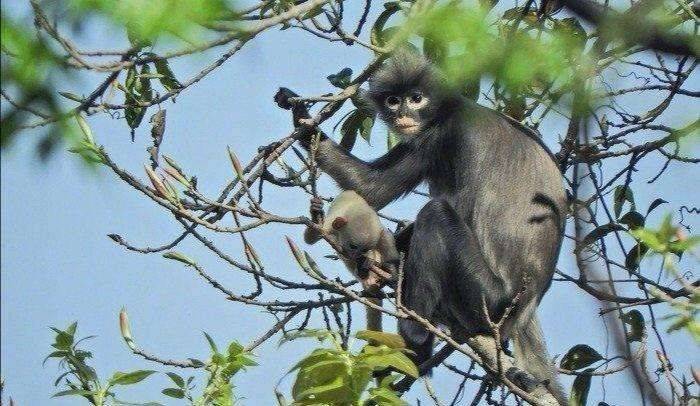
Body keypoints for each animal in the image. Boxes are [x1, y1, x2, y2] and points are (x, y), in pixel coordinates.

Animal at [304, 190, 400, 330]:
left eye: (364, 249)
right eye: (353, 246)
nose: (356, 255)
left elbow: (384, 235)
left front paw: (391, 268)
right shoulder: (331, 225)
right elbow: (310, 238)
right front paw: (315, 212)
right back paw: (364, 273)